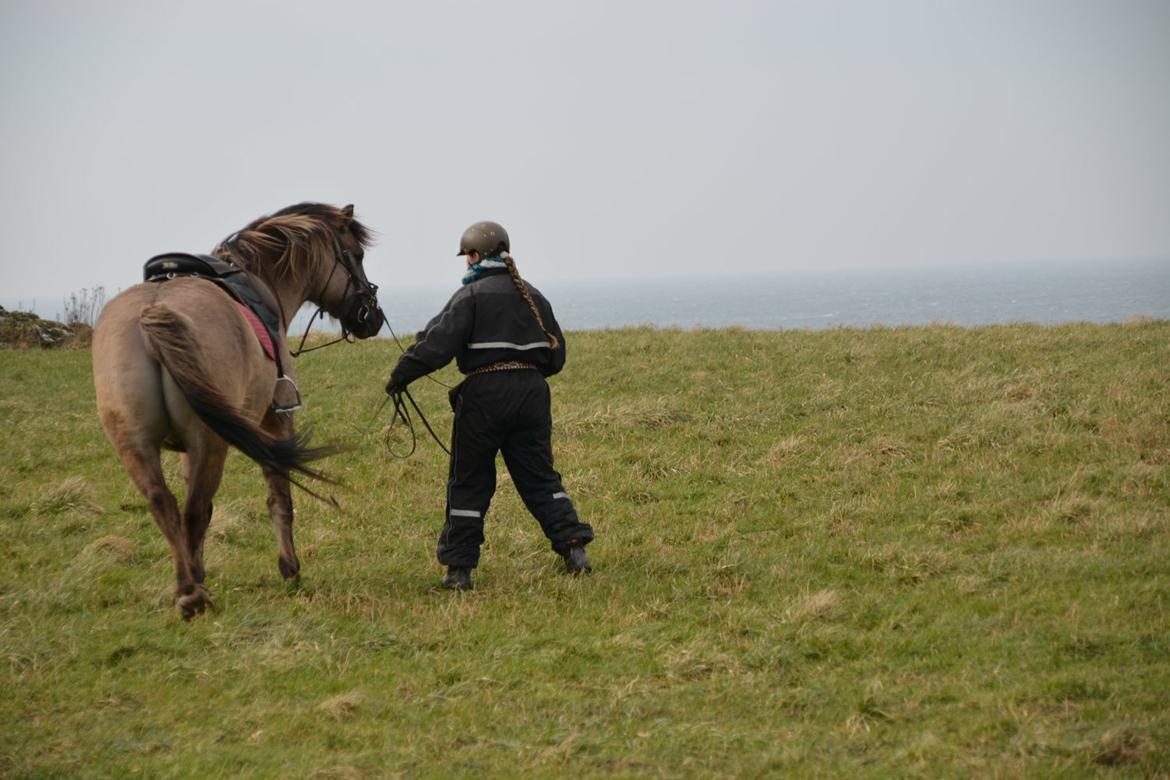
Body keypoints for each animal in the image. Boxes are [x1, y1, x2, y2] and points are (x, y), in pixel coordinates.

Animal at [93, 204, 383, 617]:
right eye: (355, 255)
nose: (372, 317)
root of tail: (153, 312)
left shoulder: (185, 449)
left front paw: (200, 567)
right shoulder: (276, 420)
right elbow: (279, 498)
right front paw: (290, 569)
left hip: (136, 444)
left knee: (165, 504)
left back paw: (188, 586)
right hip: (211, 442)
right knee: (194, 509)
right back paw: (194, 593)